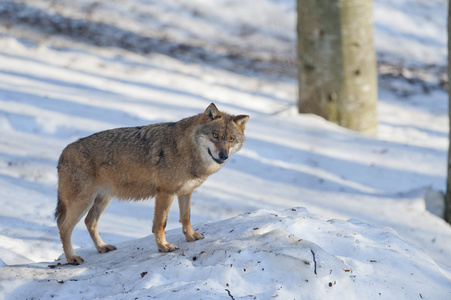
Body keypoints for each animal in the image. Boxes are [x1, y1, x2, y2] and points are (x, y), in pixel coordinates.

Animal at [55, 103, 251, 264]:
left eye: (231, 139)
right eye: (215, 135)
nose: (223, 156)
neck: (186, 149)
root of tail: (63, 153)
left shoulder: (185, 192)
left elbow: (186, 217)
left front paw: (190, 236)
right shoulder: (165, 193)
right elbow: (161, 224)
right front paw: (163, 247)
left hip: (103, 200)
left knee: (90, 222)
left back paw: (102, 247)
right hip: (83, 202)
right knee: (64, 227)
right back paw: (72, 258)